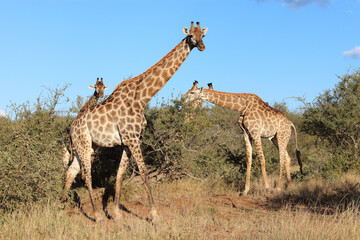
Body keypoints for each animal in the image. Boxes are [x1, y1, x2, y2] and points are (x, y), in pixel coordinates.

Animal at [61, 22, 208, 221]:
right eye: (191, 35)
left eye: (203, 35)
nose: (202, 46)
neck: (142, 98)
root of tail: (70, 127)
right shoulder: (132, 138)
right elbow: (144, 173)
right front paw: (154, 215)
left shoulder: (128, 141)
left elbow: (119, 175)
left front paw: (116, 214)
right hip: (83, 144)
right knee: (85, 175)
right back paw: (97, 215)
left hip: (86, 146)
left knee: (71, 172)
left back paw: (60, 207)